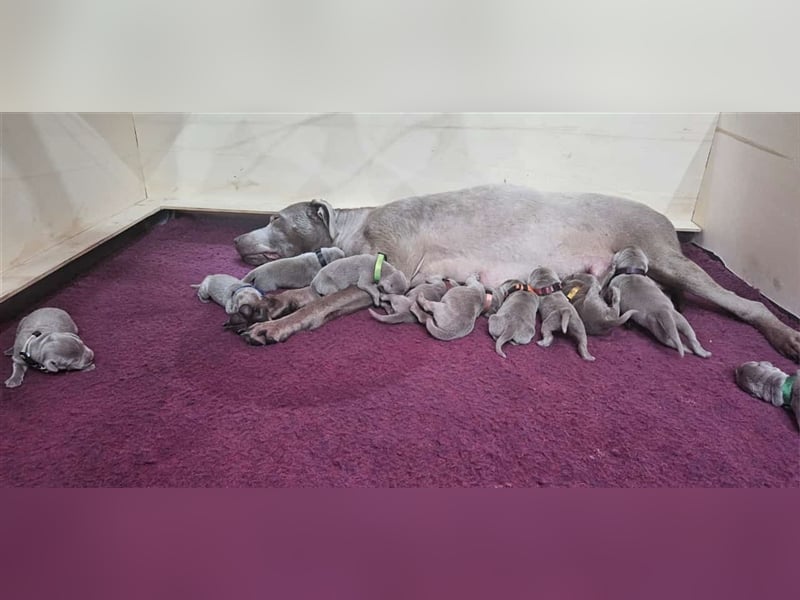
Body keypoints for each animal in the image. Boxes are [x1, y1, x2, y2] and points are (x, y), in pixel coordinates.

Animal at [231, 183, 800, 360]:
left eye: (274, 218)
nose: (235, 241)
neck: (357, 224)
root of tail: (666, 218)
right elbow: (308, 290)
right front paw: (267, 304)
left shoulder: (388, 270)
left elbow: (323, 301)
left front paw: (275, 325)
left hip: (668, 258)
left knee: (746, 303)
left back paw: (786, 337)